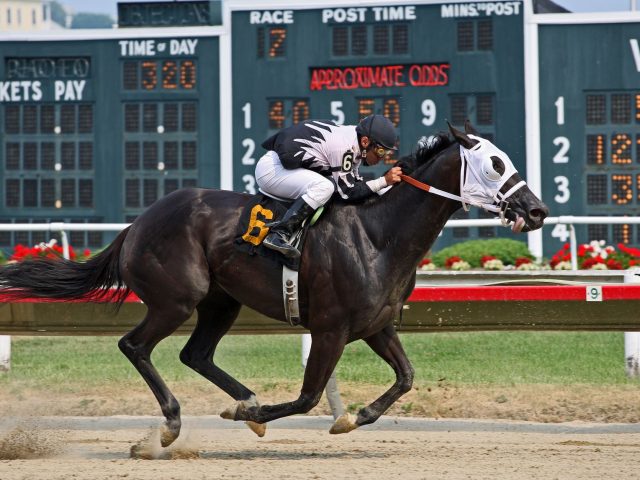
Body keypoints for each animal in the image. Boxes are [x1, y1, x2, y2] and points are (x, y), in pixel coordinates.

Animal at [0, 121, 548, 446]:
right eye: (496, 163)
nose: (537, 210)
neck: (378, 234)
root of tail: (137, 224)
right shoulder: (329, 329)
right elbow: (307, 397)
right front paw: (274, 415)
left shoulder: (376, 325)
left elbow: (406, 377)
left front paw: (352, 416)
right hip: (176, 299)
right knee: (135, 346)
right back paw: (174, 424)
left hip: (221, 302)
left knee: (195, 354)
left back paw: (244, 400)